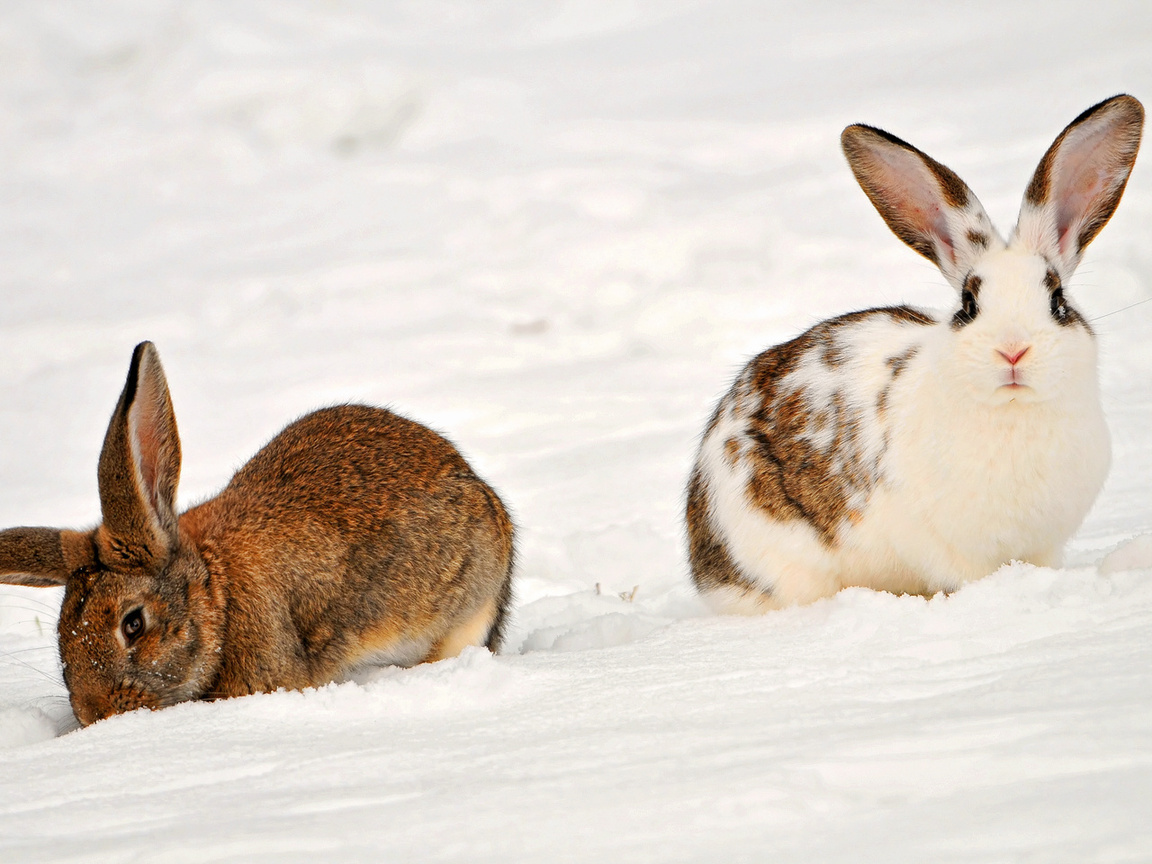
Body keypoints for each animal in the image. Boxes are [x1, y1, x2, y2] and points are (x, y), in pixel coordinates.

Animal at [681, 96, 1142, 617]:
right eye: (968, 304)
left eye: (1057, 300)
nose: (1013, 350)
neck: (1013, 411)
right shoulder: (949, 547)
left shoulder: (1043, 544)